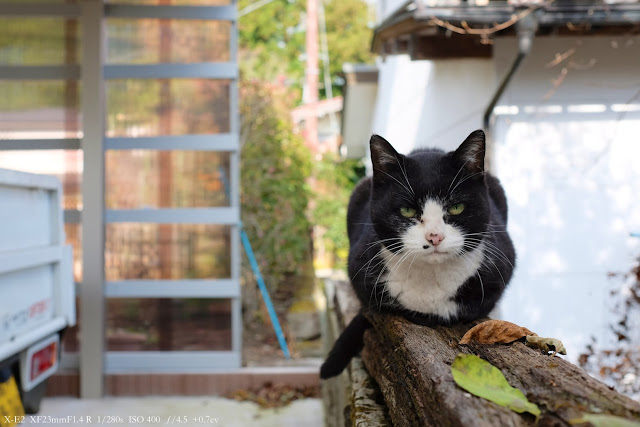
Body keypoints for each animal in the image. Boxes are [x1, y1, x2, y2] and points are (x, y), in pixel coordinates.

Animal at [320, 130, 516, 378]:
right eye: (407, 210)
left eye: (456, 208)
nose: (435, 237)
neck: (430, 279)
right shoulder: (358, 266)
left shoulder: (501, 265)